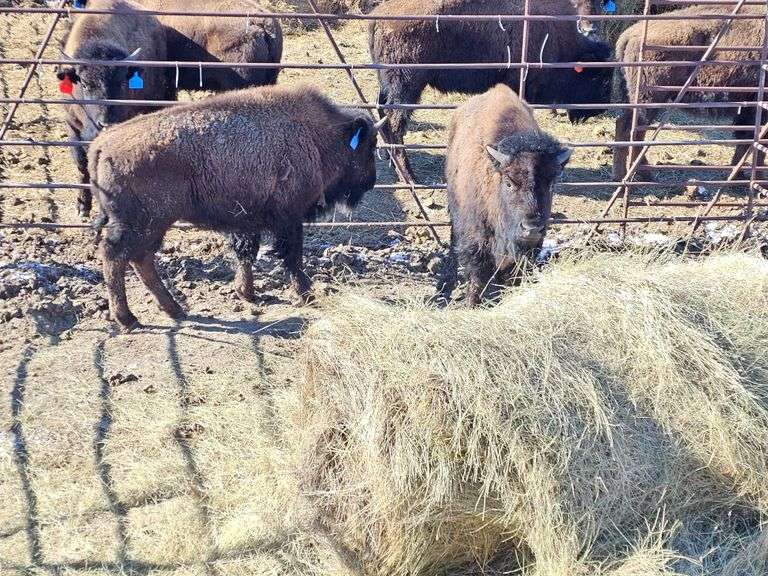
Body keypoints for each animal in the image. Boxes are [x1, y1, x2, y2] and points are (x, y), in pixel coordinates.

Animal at [57, 0, 172, 217]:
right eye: (84, 83)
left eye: (121, 82)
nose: (105, 124)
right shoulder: (72, 125)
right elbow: (82, 164)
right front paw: (82, 205)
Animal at [88, 84, 384, 330]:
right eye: (369, 147)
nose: (371, 182)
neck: (316, 134)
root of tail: (101, 146)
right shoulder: (289, 218)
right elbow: (292, 256)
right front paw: (306, 294)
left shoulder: (247, 221)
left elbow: (247, 254)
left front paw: (246, 293)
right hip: (142, 224)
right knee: (116, 256)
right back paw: (129, 319)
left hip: (154, 226)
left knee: (141, 259)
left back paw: (175, 310)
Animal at [368, 0, 611, 180]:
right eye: (599, 77)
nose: (600, 108)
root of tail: (377, 17)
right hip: (407, 85)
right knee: (395, 121)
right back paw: (409, 176)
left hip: (389, 84)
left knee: (383, 113)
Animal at [439, 84, 571, 306]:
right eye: (508, 183)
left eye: (551, 183)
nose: (531, 227)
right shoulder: (475, 236)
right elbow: (477, 272)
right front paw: (471, 302)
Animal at [613, 4, 766, 181]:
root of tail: (629, 34)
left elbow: (745, 140)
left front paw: (736, 174)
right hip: (649, 101)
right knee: (633, 131)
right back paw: (640, 175)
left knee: (624, 126)